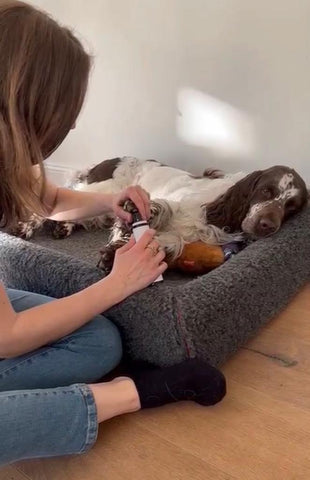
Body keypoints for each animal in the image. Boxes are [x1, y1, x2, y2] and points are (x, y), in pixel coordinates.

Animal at [13, 156, 308, 270]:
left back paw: (61, 228)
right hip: (101, 190)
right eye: (268, 191)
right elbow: (156, 213)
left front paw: (114, 254)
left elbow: (172, 241)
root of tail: (107, 160)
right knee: (52, 206)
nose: (267, 225)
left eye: (292, 207)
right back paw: (25, 226)